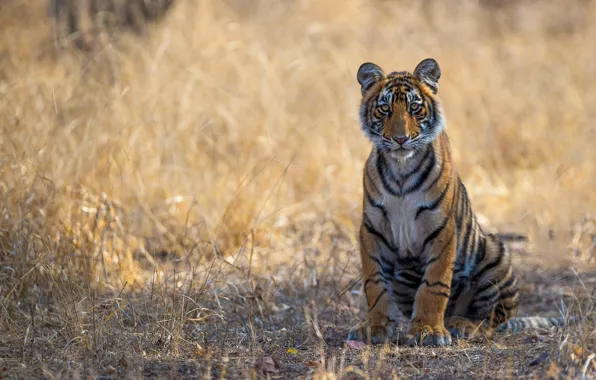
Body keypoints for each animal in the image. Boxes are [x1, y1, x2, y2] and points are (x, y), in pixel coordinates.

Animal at [354, 58, 568, 346]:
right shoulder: (372, 230)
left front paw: (428, 330)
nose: (400, 139)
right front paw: (375, 328)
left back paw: (461, 324)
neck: (400, 170)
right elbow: (375, 284)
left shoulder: (441, 229)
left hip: (496, 253)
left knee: (491, 321)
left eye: (414, 108)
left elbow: (434, 284)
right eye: (385, 109)